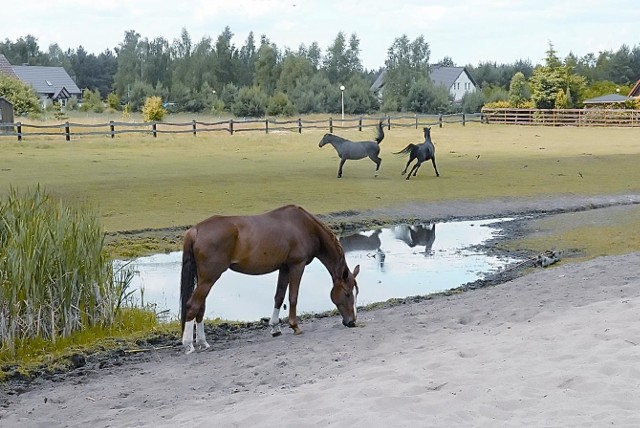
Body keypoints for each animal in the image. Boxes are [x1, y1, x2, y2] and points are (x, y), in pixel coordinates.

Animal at [180, 204, 360, 354]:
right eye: (347, 293)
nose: (352, 322)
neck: (305, 227)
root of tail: (196, 230)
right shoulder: (297, 265)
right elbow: (293, 297)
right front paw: (295, 326)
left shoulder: (284, 268)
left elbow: (279, 297)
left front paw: (275, 328)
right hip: (209, 278)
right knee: (192, 305)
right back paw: (188, 344)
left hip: (203, 278)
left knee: (200, 308)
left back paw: (202, 342)